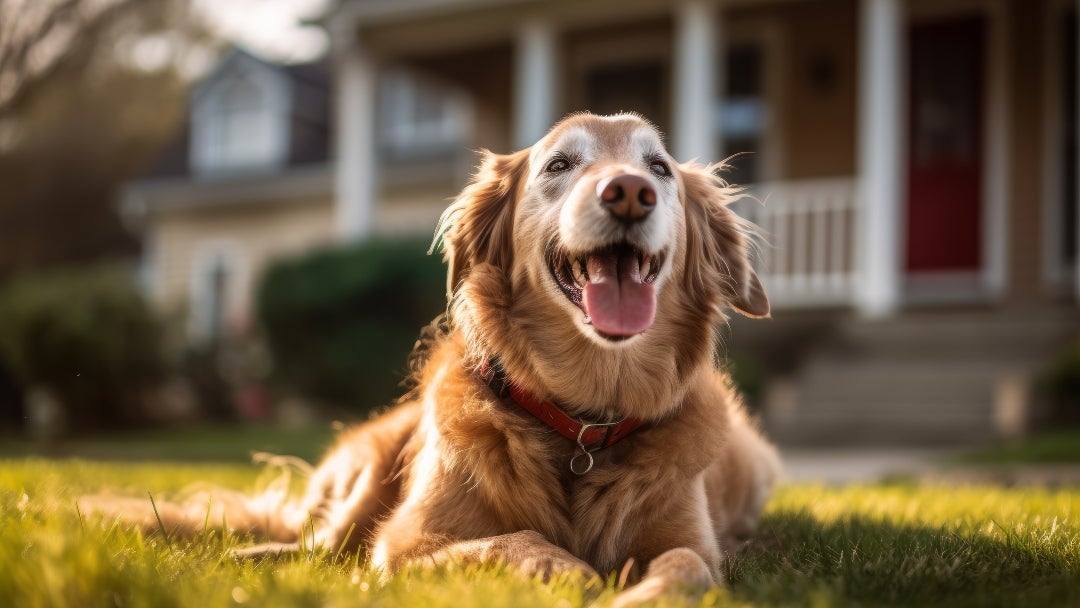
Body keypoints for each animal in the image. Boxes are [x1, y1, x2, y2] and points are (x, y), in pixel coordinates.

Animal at [82, 112, 777, 604]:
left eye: (658, 168)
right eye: (559, 163)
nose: (629, 191)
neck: (582, 422)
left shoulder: (692, 542)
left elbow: (689, 565)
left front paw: (641, 594)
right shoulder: (407, 543)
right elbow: (512, 541)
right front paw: (574, 572)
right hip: (370, 465)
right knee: (317, 544)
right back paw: (249, 559)